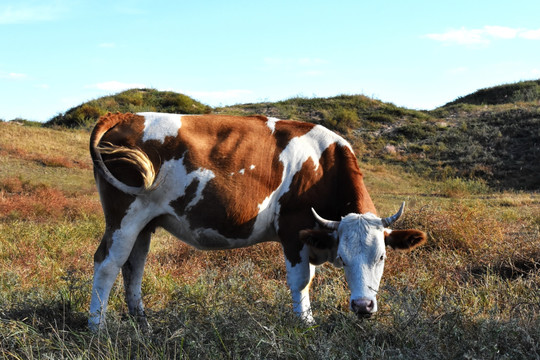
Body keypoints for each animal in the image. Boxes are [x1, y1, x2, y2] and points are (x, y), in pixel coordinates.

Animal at [88, 111, 426, 330]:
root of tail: (125, 115)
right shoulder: (292, 230)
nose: (363, 306)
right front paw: (306, 324)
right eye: (343, 258)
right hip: (124, 216)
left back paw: (142, 322)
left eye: (381, 257)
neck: (323, 165)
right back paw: (97, 326)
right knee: (107, 264)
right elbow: (301, 281)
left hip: (144, 223)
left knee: (133, 267)